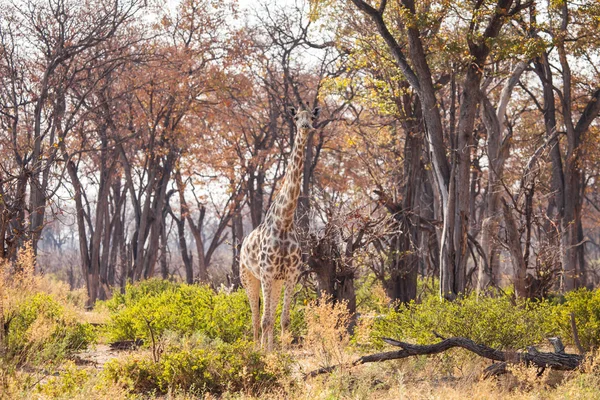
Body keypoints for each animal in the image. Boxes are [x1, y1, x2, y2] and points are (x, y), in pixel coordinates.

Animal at [240, 102, 322, 350]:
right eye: (296, 118)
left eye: (311, 117)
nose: (305, 127)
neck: (284, 221)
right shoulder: (266, 273)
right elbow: (265, 320)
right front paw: (265, 355)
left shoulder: (291, 275)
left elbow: (284, 319)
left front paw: (282, 353)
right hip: (248, 278)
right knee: (256, 318)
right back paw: (257, 348)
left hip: (275, 281)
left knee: (269, 314)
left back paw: (268, 347)